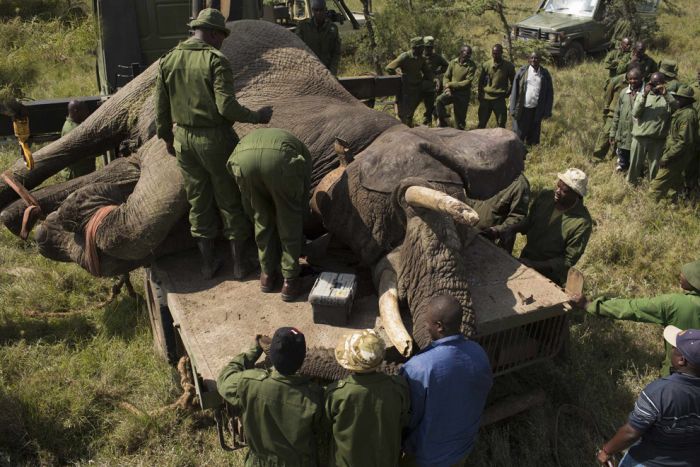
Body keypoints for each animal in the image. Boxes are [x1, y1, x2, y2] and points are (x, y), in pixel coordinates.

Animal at [0, 20, 524, 364]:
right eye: (400, 211)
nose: (420, 341)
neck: (364, 134)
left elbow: (158, 206)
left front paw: (59, 221)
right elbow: (159, 192)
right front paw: (58, 230)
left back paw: (20, 213)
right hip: (149, 77)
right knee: (94, 131)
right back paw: (20, 198)